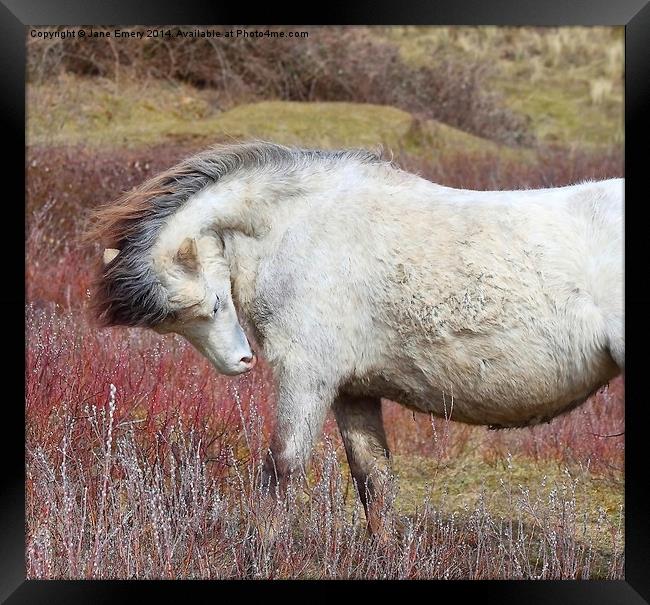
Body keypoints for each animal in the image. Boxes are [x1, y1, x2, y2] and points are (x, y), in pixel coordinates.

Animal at [88, 143, 620, 532]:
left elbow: (281, 470)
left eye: (213, 304)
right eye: (178, 322)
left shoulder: (308, 378)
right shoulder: (353, 391)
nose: (239, 363)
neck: (299, 227)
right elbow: (374, 482)